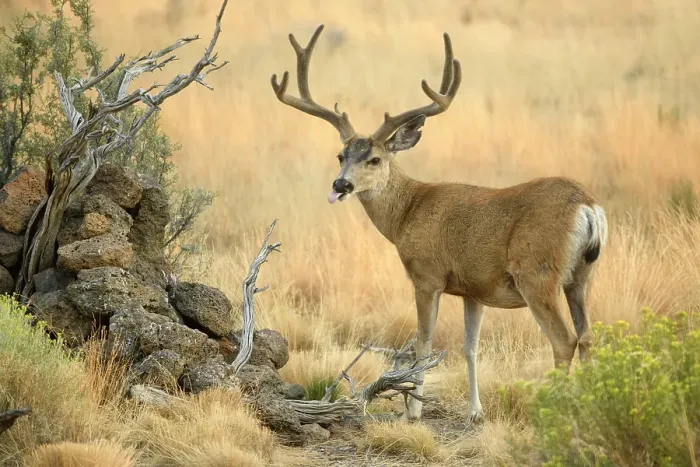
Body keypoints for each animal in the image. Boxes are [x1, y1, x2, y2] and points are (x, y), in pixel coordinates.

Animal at [270, 25, 608, 423]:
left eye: (374, 159)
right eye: (341, 155)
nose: (341, 185)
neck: (407, 213)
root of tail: (587, 207)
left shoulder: (426, 275)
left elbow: (424, 345)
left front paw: (414, 411)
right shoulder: (473, 289)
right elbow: (469, 347)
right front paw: (475, 411)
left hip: (537, 274)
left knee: (564, 340)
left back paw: (557, 412)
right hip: (581, 276)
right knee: (587, 337)